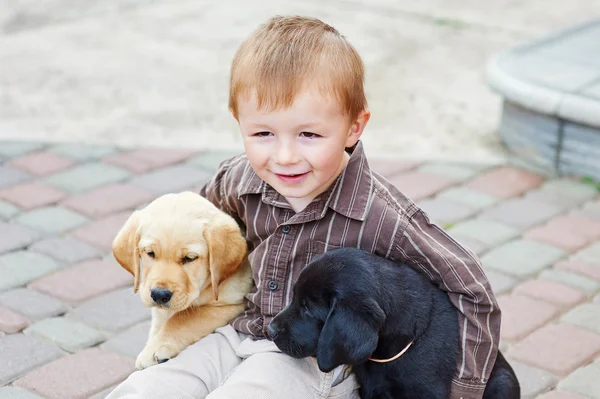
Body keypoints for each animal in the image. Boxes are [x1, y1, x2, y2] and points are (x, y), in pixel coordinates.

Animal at [112, 192, 251, 370]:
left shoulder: (232, 304)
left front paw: (155, 347)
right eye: (150, 253)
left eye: (189, 258)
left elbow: (182, 318)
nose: (159, 295)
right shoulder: (159, 312)